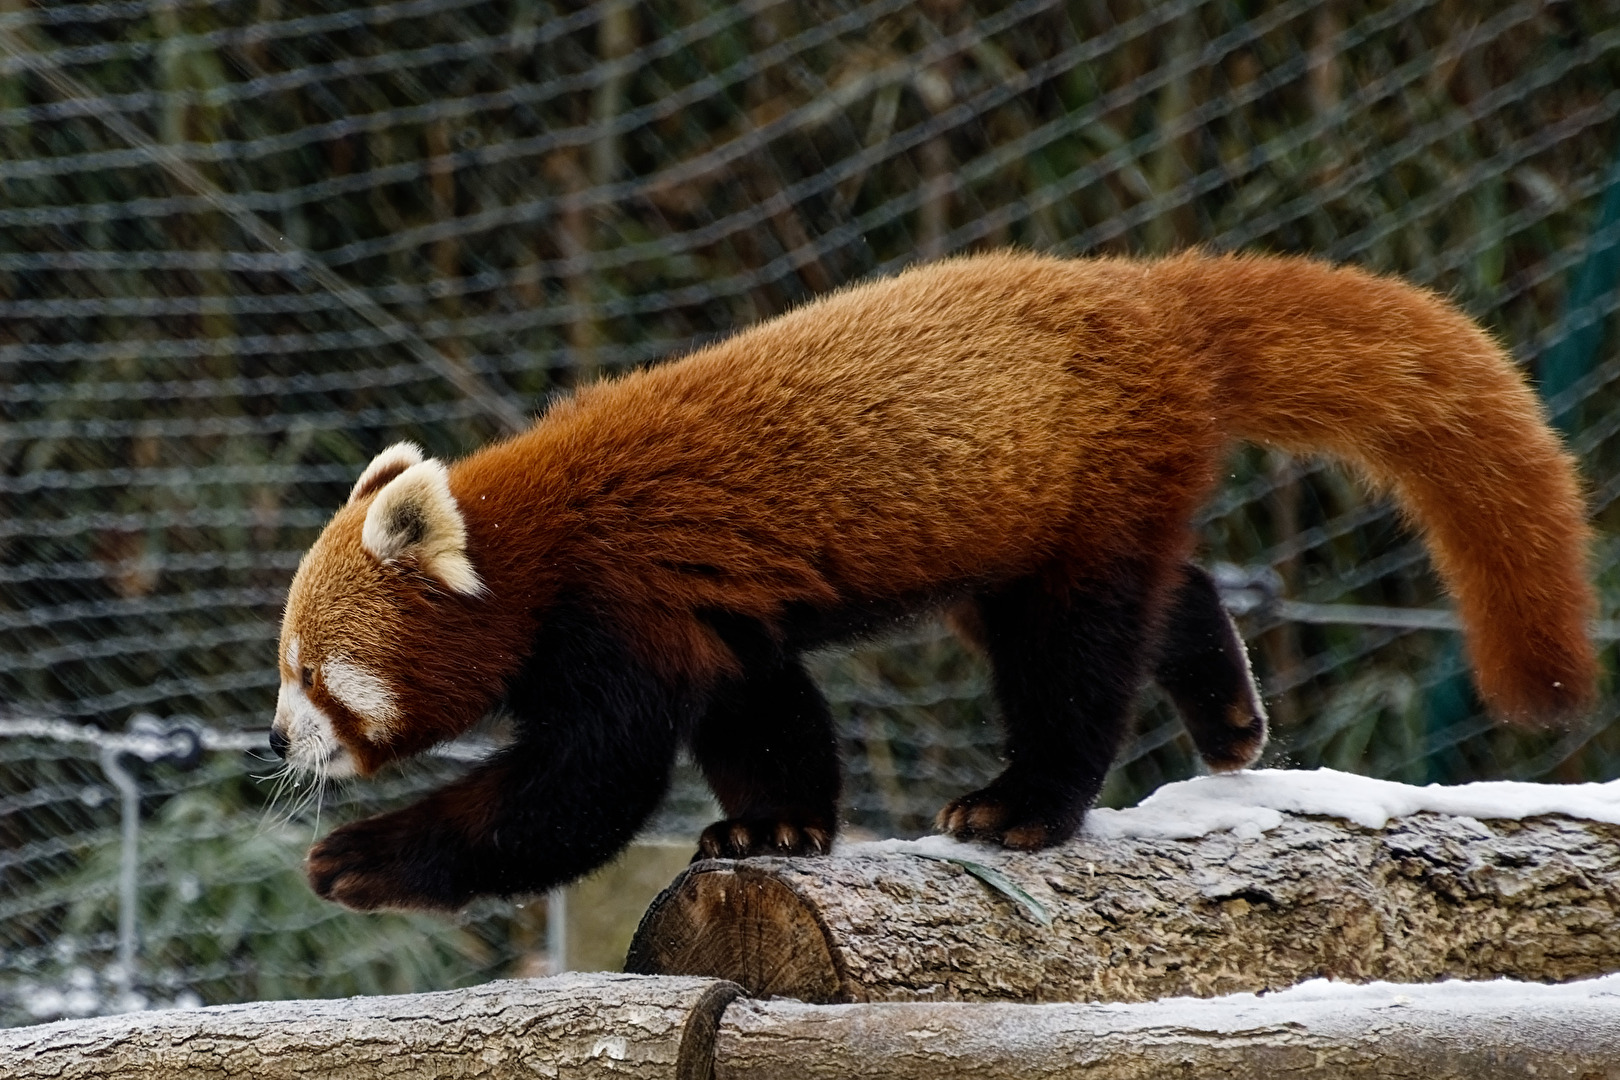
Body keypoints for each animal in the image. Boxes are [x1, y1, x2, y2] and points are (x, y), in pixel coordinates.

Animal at [272, 250, 1600, 913]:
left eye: (310, 672)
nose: (280, 740)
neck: (535, 539)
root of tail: (1147, 290)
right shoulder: (713, 615)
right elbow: (764, 710)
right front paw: (775, 824)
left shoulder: (620, 607)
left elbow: (581, 790)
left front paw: (362, 861)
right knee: (1152, 596)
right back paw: (1225, 709)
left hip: (1078, 484)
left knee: (1075, 656)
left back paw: (1024, 804)